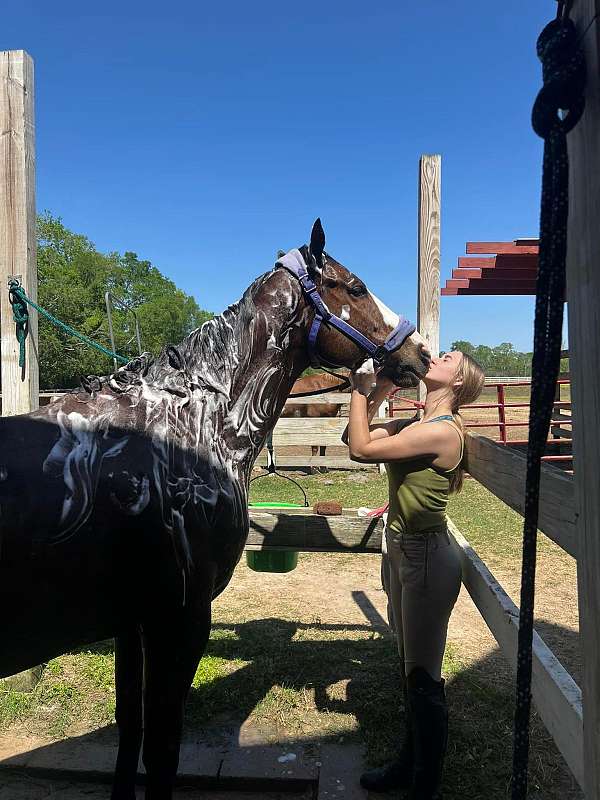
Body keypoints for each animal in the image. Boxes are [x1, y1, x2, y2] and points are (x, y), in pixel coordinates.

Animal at [0, 219, 430, 799]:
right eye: (356, 288)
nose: (420, 355)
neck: (189, 425)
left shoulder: (133, 622)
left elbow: (129, 729)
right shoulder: (178, 619)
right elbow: (161, 750)